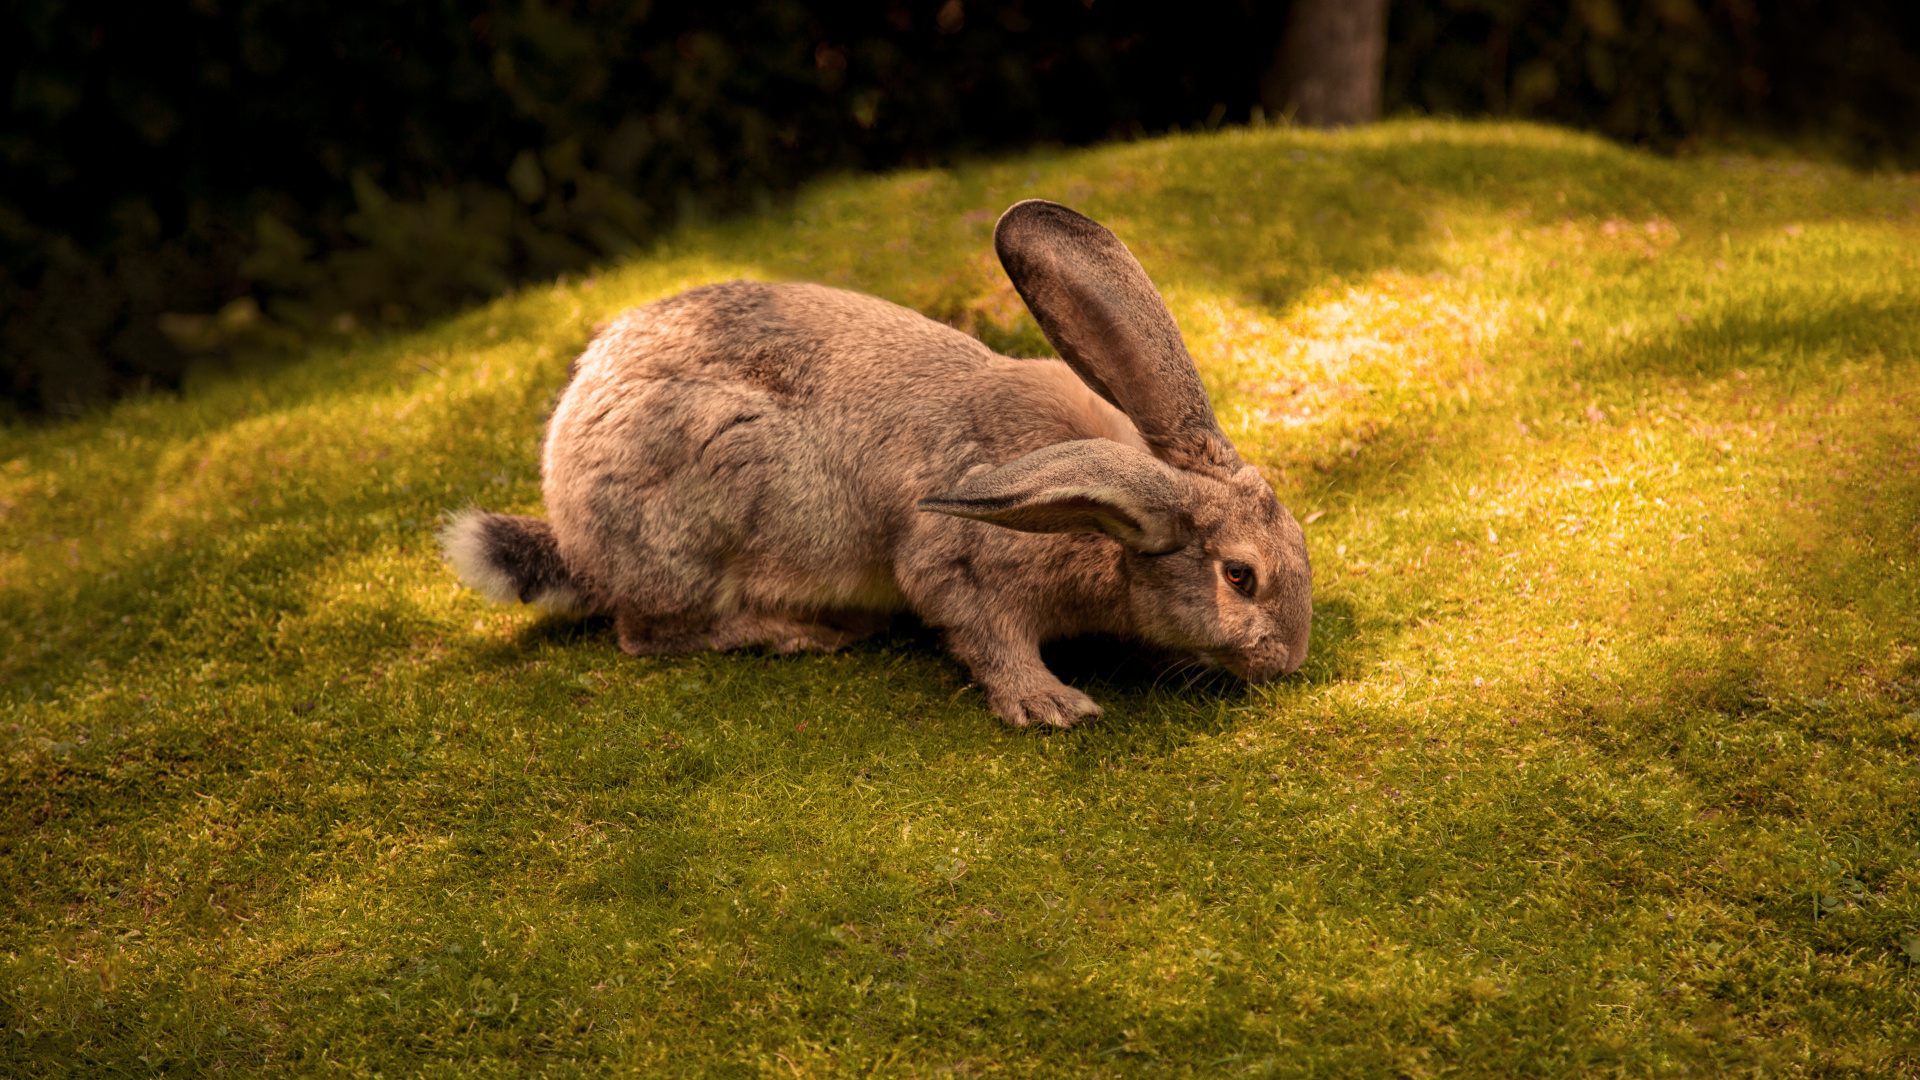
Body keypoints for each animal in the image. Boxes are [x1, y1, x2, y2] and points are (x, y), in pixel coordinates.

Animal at [441, 200, 1312, 728]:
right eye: (1240, 576)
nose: (1291, 661)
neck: (1108, 516)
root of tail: (574, 532)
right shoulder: (961, 566)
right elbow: (985, 633)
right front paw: (1050, 704)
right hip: (705, 501)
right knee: (650, 634)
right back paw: (800, 633)